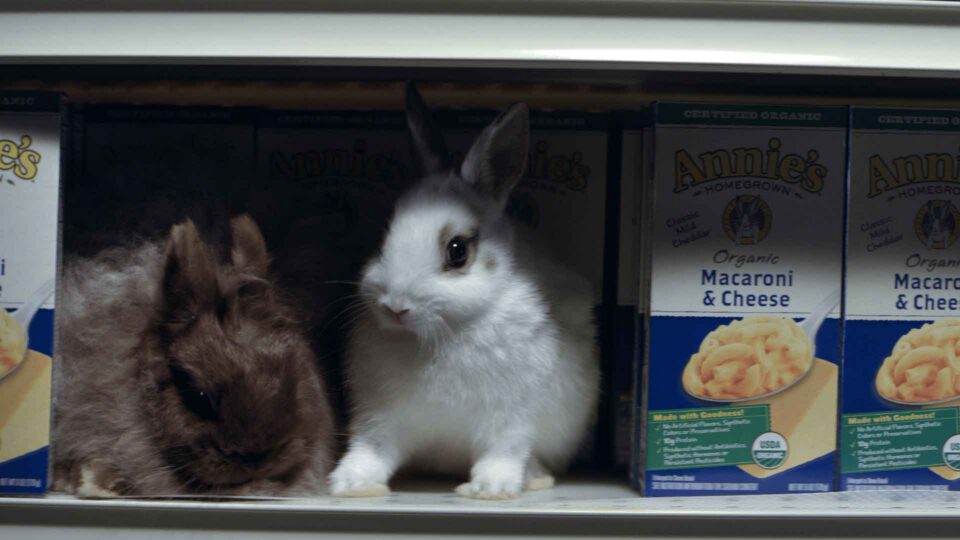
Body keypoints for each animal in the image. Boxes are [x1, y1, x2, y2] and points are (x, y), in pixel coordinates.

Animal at [328, 84, 599, 500]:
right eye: (383, 237)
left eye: (457, 251)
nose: (395, 307)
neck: (441, 334)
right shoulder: (379, 418)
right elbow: (370, 450)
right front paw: (349, 484)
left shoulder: (510, 419)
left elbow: (503, 452)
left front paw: (491, 489)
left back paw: (534, 478)